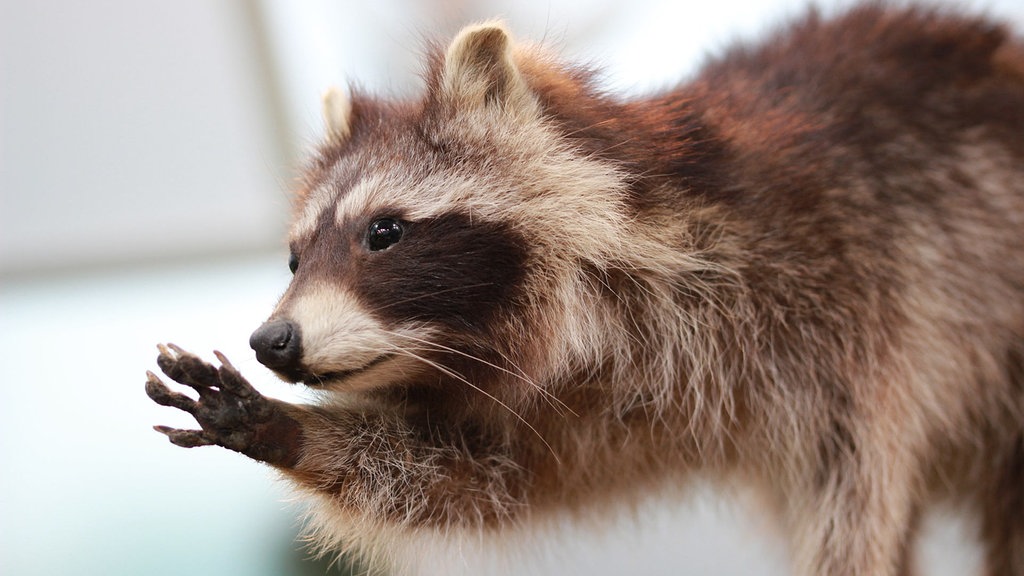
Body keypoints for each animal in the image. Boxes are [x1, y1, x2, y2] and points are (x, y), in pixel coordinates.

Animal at [144, 4, 1024, 573]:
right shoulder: (573, 409)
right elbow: (474, 478)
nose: (272, 342)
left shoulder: (847, 302)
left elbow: (853, 504)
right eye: (295, 259)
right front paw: (284, 427)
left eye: (383, 232)